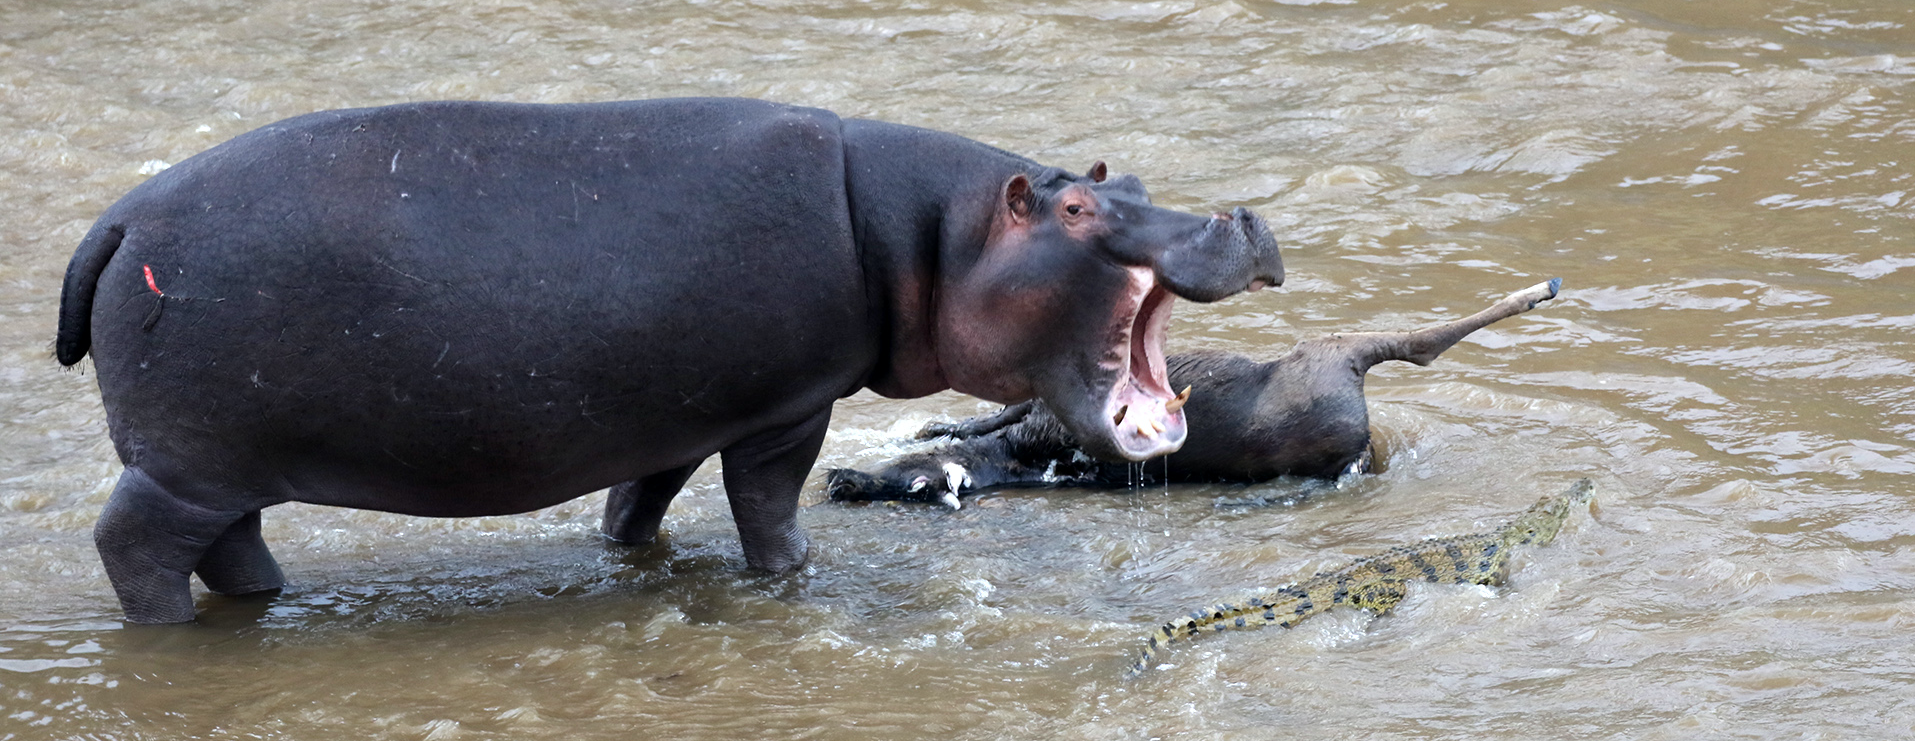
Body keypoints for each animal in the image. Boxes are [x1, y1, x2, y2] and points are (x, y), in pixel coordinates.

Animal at [56, 95, 1286, 624]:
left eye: (1127, 178)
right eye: (1078, 207)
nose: (1239, 216)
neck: (935, 237)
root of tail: (115, 220)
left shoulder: (677, 415)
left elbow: (637, 506)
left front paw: (630, 555)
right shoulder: (785, 407)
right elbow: (769, 507)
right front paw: (792, 578)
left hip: (219, 462)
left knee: (231, 544)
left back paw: (268, 603)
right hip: (184, 464)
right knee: (135, 544)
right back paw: (169, 630)